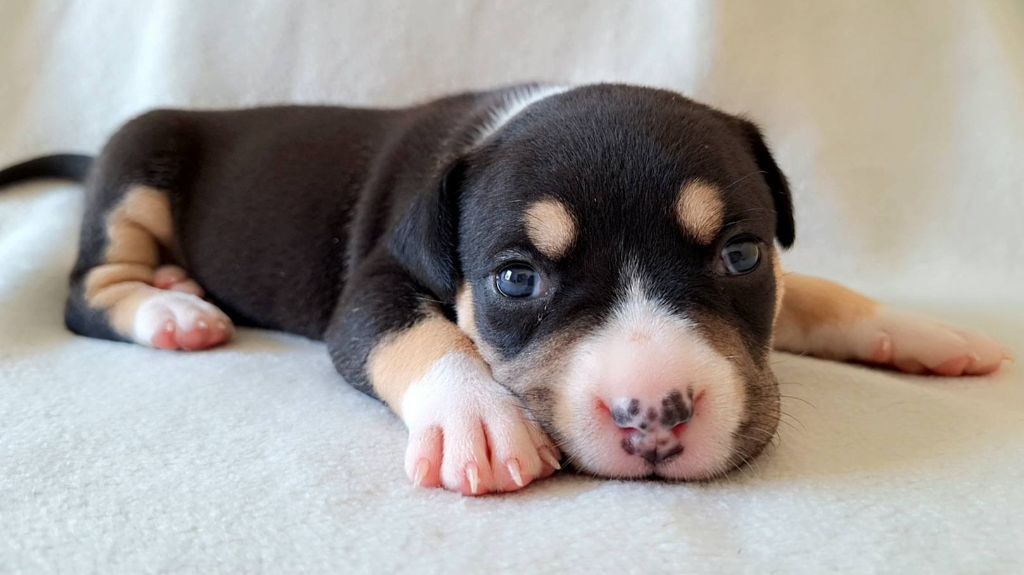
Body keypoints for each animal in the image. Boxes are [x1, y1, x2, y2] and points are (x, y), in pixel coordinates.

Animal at [0, 83, 1009, 495]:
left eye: (740, 257)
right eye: (516, 279)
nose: (654, 414)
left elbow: (821, 290)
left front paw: (919, 329)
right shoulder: (374, 285)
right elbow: (423, 332)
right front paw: (478, 417)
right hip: (142, 160)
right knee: (87, 287)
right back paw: (171, 306)